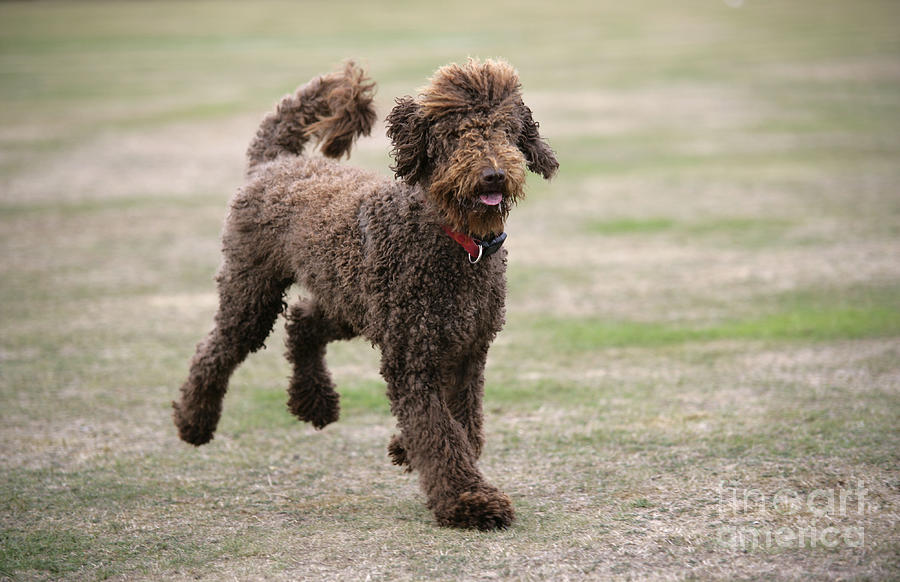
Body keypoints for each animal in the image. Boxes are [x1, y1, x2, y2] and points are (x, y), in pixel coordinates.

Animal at [171, 60, 556, 532]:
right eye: (453, 133)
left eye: (506, 130)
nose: (493, 174)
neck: (455, 241)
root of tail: (275, 161)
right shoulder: (413, 358)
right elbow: (440, 432)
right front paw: (469, 501)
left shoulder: (468, 352)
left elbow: (465, 425)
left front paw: (409, 451)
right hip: (253, 294)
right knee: (216, 349)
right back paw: (194, 421)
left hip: (351, 301)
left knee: (303, 320)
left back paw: (314, 401)